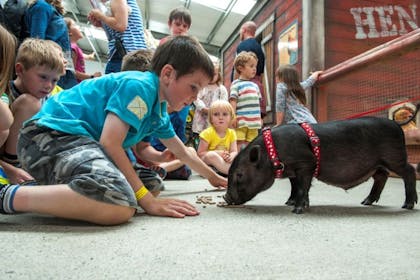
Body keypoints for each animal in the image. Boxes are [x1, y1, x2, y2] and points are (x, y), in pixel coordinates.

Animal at [223, 117, 416, 213]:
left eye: (239, 174)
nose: (226, 197)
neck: (273, 152)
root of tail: (397, 125)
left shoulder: (306, 163)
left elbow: (303, 186)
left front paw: (297, 210)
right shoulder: (294, 170)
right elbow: (296, 186)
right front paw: (290, 203)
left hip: (394, 157)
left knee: (409, 171)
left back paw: (407, 205)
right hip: (377, 164)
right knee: (381, 176)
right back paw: (366, 202)